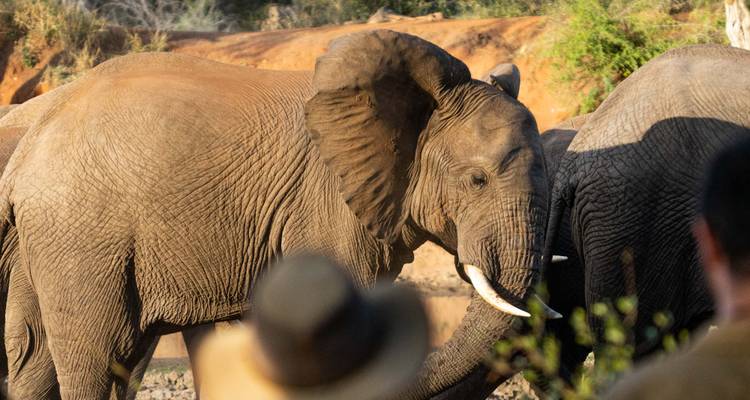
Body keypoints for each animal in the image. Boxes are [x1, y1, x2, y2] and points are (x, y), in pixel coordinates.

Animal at [0, 29, 558, 399]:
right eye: (477, 181)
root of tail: (30, 144)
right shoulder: (326, 202)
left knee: (37, 356)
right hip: (81, 230)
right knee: (97, 354)